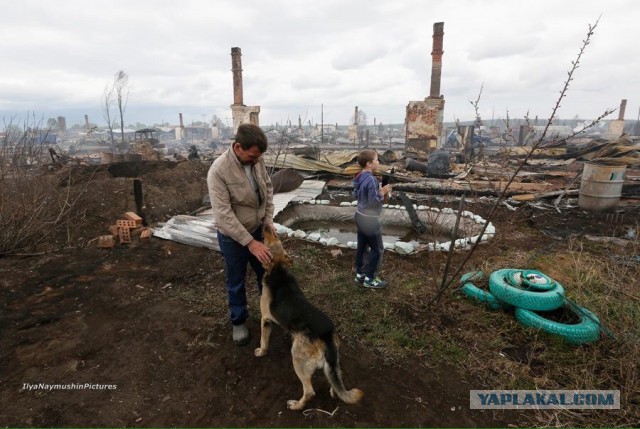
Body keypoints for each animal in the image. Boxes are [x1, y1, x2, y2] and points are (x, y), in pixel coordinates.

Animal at [255, 224, 364, 408]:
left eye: (271, 239)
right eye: (276, 237)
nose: (267, 226)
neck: (278, 269)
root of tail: (326, 337)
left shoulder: (265, 319)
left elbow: (263, 340)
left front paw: (261, 352)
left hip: (297, 359)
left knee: (309, 392)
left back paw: (296, 405)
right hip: (333, 363)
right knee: (336, 381)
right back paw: (334, 392)